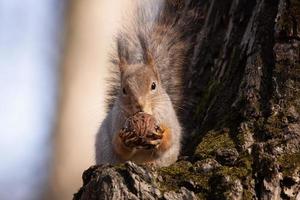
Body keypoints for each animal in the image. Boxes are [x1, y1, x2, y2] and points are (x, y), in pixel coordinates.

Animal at [96, 0, 195, 166]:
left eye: (154, 86)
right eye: (124, 90)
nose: (139, 105)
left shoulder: (168, 116)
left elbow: (171, 137)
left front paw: (160, 137)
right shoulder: (116, 122)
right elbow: (118, 145)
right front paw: (125, 139)